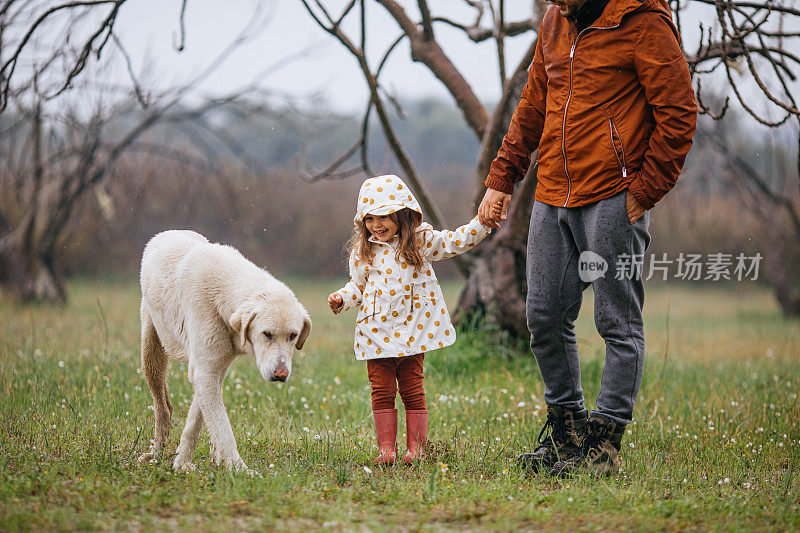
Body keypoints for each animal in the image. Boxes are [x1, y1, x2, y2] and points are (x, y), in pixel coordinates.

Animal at [138, 231, 312, 472]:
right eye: (267, 334)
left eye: (293, 336)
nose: (281, 374)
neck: (222, 292)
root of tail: (164, 233)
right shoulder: (205, 373)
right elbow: (223, 428)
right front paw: (239, 470)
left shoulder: (213, 372)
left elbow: (197, 422)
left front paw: (183, 462)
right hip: (151, 354)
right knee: (163, 409)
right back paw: (155, 453)